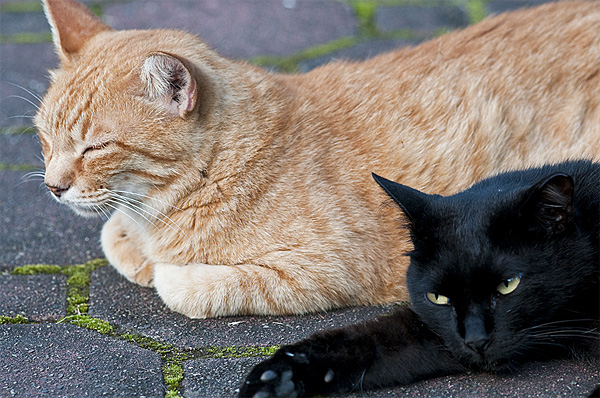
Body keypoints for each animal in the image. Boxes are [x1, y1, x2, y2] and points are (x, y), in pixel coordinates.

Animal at [38, 0, 600, 318]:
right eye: (44, 138)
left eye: (95, 147)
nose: (52, 186)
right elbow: (112, 234)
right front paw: (138, 251)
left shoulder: (332, 268)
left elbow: (188, 288)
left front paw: (164, 270)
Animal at [240, 160, 600, 396]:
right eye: (438, 298)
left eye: (508, 285)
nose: (476, 340)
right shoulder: (435, 333)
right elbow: (367, 339)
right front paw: (277, 376)